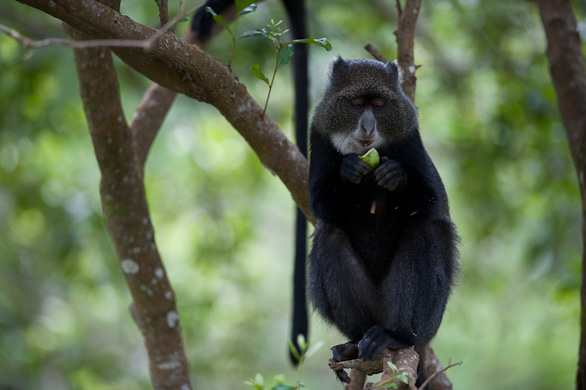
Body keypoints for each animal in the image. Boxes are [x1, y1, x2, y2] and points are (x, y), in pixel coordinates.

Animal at [306, 58, 456, 384]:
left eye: (378, 104)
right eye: (356, 103)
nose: (367, 126)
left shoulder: (409, 134)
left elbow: (430, 202)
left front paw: (395, 176)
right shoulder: (318, 134)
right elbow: (322, 208)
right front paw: (348, 171)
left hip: (423, 319)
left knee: (424, 229)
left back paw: (396, 336)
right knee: (329, 235)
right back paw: (354, 342)